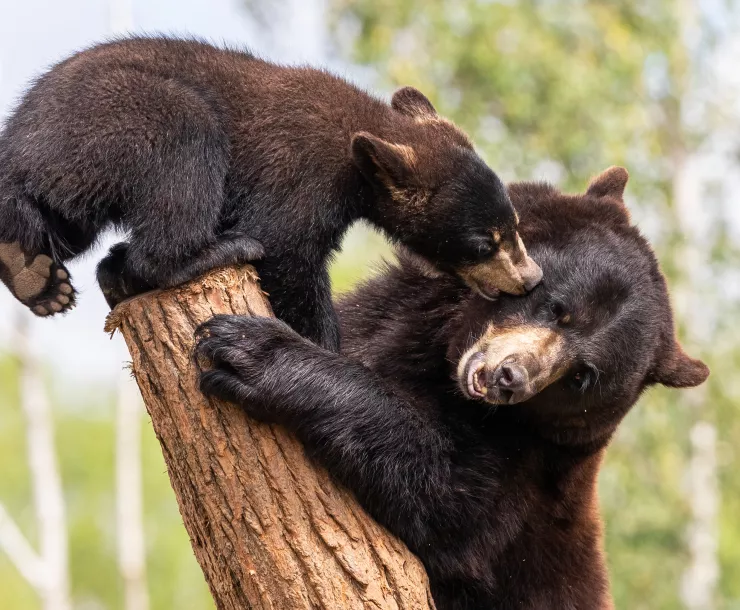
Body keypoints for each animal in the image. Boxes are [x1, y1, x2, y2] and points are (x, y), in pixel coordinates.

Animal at [0, 36, 541, 352]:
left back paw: (41, 277)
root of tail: (17, 142)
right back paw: (207, 253)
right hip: (121, 117)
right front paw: (323, 345)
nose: (529, 277)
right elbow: (286, 250)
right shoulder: (299, 175)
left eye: (513, 224)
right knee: (184, 146)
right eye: (484, 242)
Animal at [194, 166, 709, 609]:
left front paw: (250, 351)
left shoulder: (524, 473)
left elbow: (445, 498)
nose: (510, 378)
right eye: (558, 308)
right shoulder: (384, 315)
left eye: (583, 375)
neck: (445, 359)